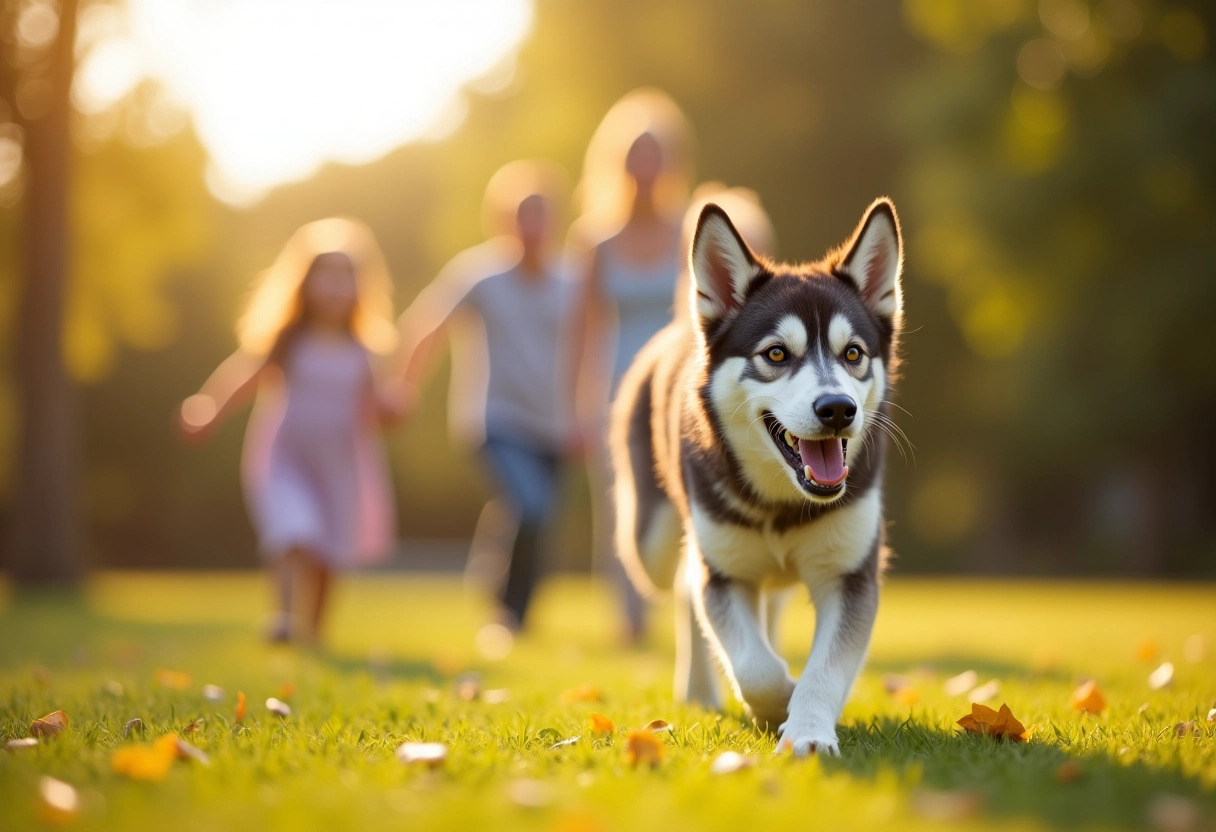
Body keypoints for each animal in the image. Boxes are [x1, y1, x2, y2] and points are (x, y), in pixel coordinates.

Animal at [608, 199, 904, 754]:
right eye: (776, 354)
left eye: (853, 353)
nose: (838, 409)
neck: (780, 503)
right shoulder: (723, 573)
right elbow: (753, 665)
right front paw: (780, 697)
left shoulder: (849, 574)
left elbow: (824, 668)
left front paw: (807, 731)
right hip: (648, 542)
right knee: (682, 582)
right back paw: (698, 690)